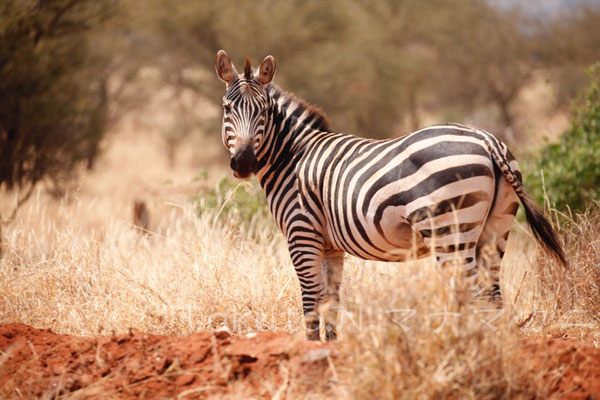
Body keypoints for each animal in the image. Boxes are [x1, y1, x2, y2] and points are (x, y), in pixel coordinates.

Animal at [214, 50, 568, 340]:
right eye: (227, 108)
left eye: (264, 111)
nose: (243, 162)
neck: (293, 156)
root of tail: (487, 139)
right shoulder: (331, 246)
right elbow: (331, 301)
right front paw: (331, 352)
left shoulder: (302, 234)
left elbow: (310, 300)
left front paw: (311, 353)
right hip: (495, 230)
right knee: (492, 296)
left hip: (450, 232)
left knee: (471, 294)